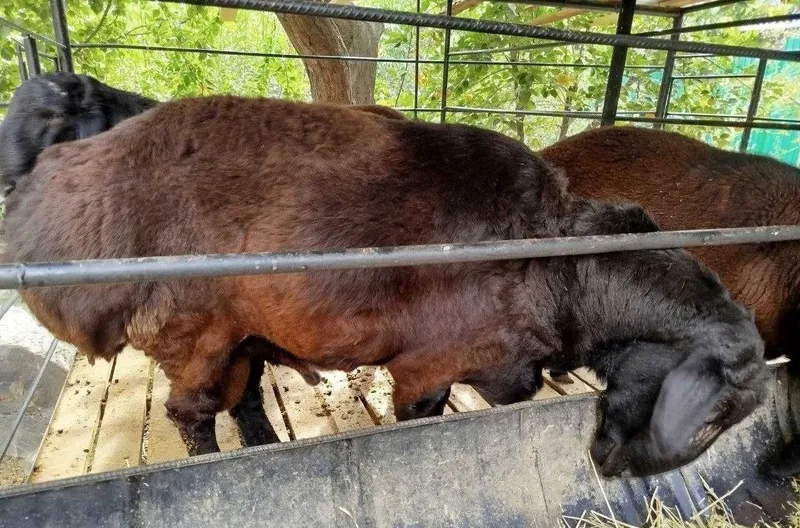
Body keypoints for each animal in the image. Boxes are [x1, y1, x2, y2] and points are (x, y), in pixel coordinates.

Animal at [3, 96, 768, 477]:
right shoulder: (429, 363)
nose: (610, 468)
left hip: (244, 334)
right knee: (190, 413)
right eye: (709, 419)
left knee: (243, 397)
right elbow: (418, 420)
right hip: (195, 333)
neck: (562, 269)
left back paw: (266, 446)